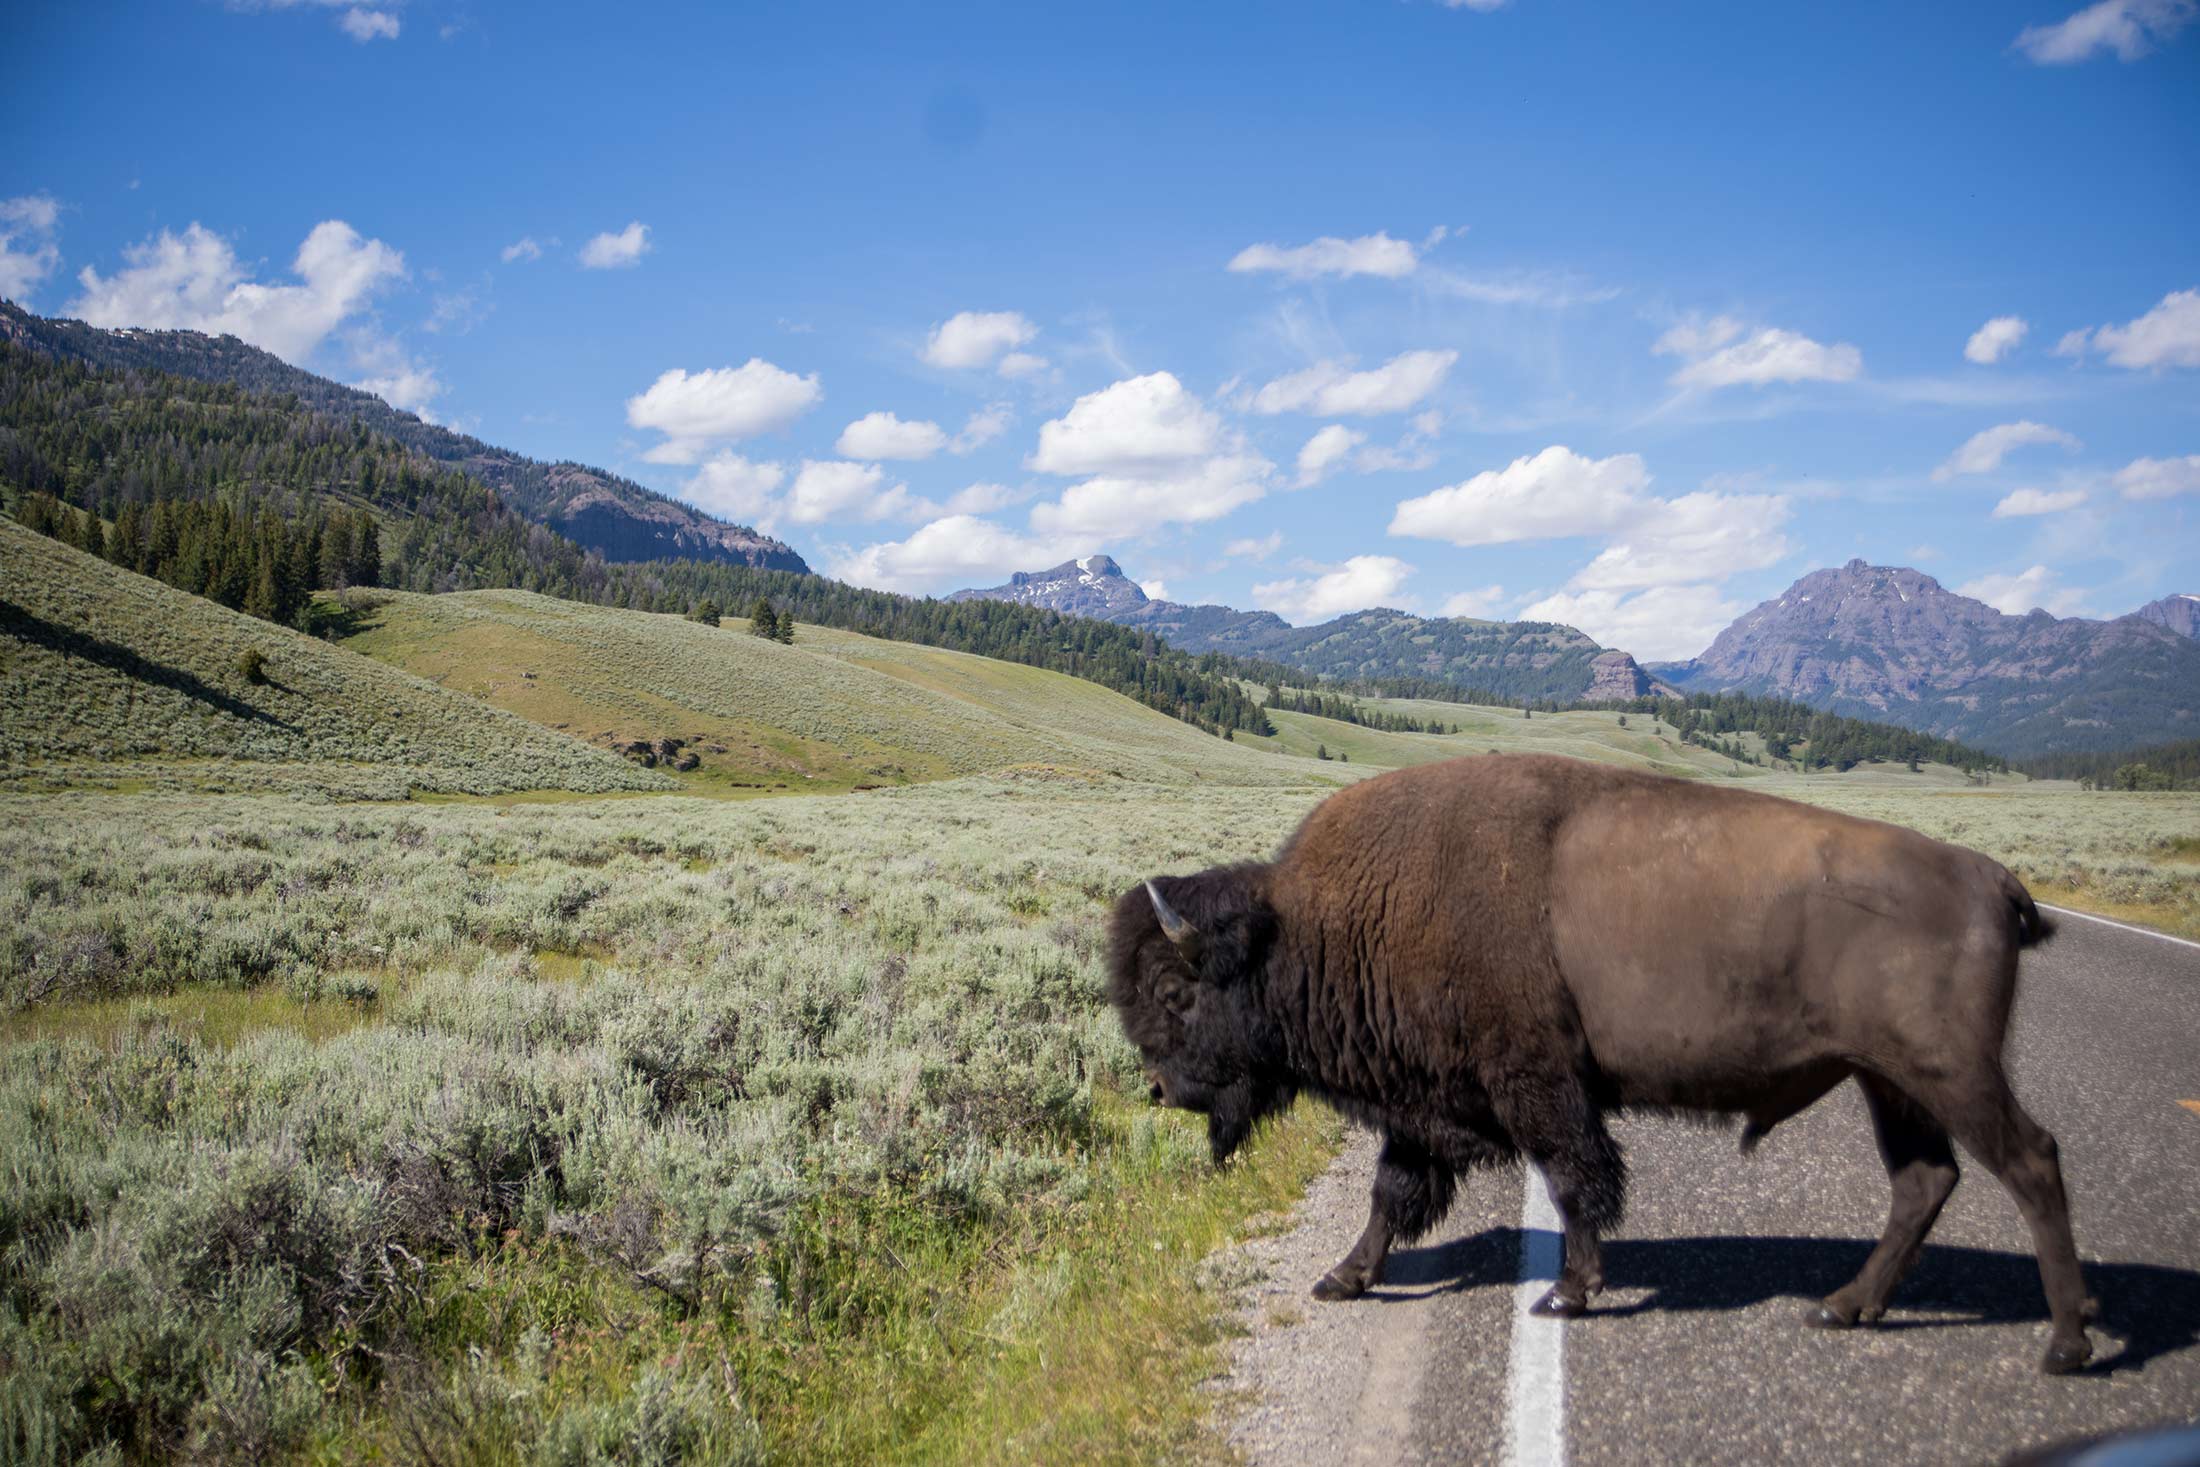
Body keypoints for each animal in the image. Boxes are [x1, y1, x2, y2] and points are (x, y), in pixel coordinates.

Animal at [1108, 756, 2085, 1381]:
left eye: (1174, 991)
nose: (1158, 1088)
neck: (1308, 926)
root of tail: (1991, 876)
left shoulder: (1538, 1086)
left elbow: (1576, 1180)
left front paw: (1569, 1294)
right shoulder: (1423, 1112)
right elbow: (1392, 1195)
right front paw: (1342, 1277)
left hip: (1951, 1071)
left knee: (2031, 1161)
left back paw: (2066, 1346)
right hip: (1889, 1080)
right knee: (1925, 1179)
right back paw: (1843, 1305)